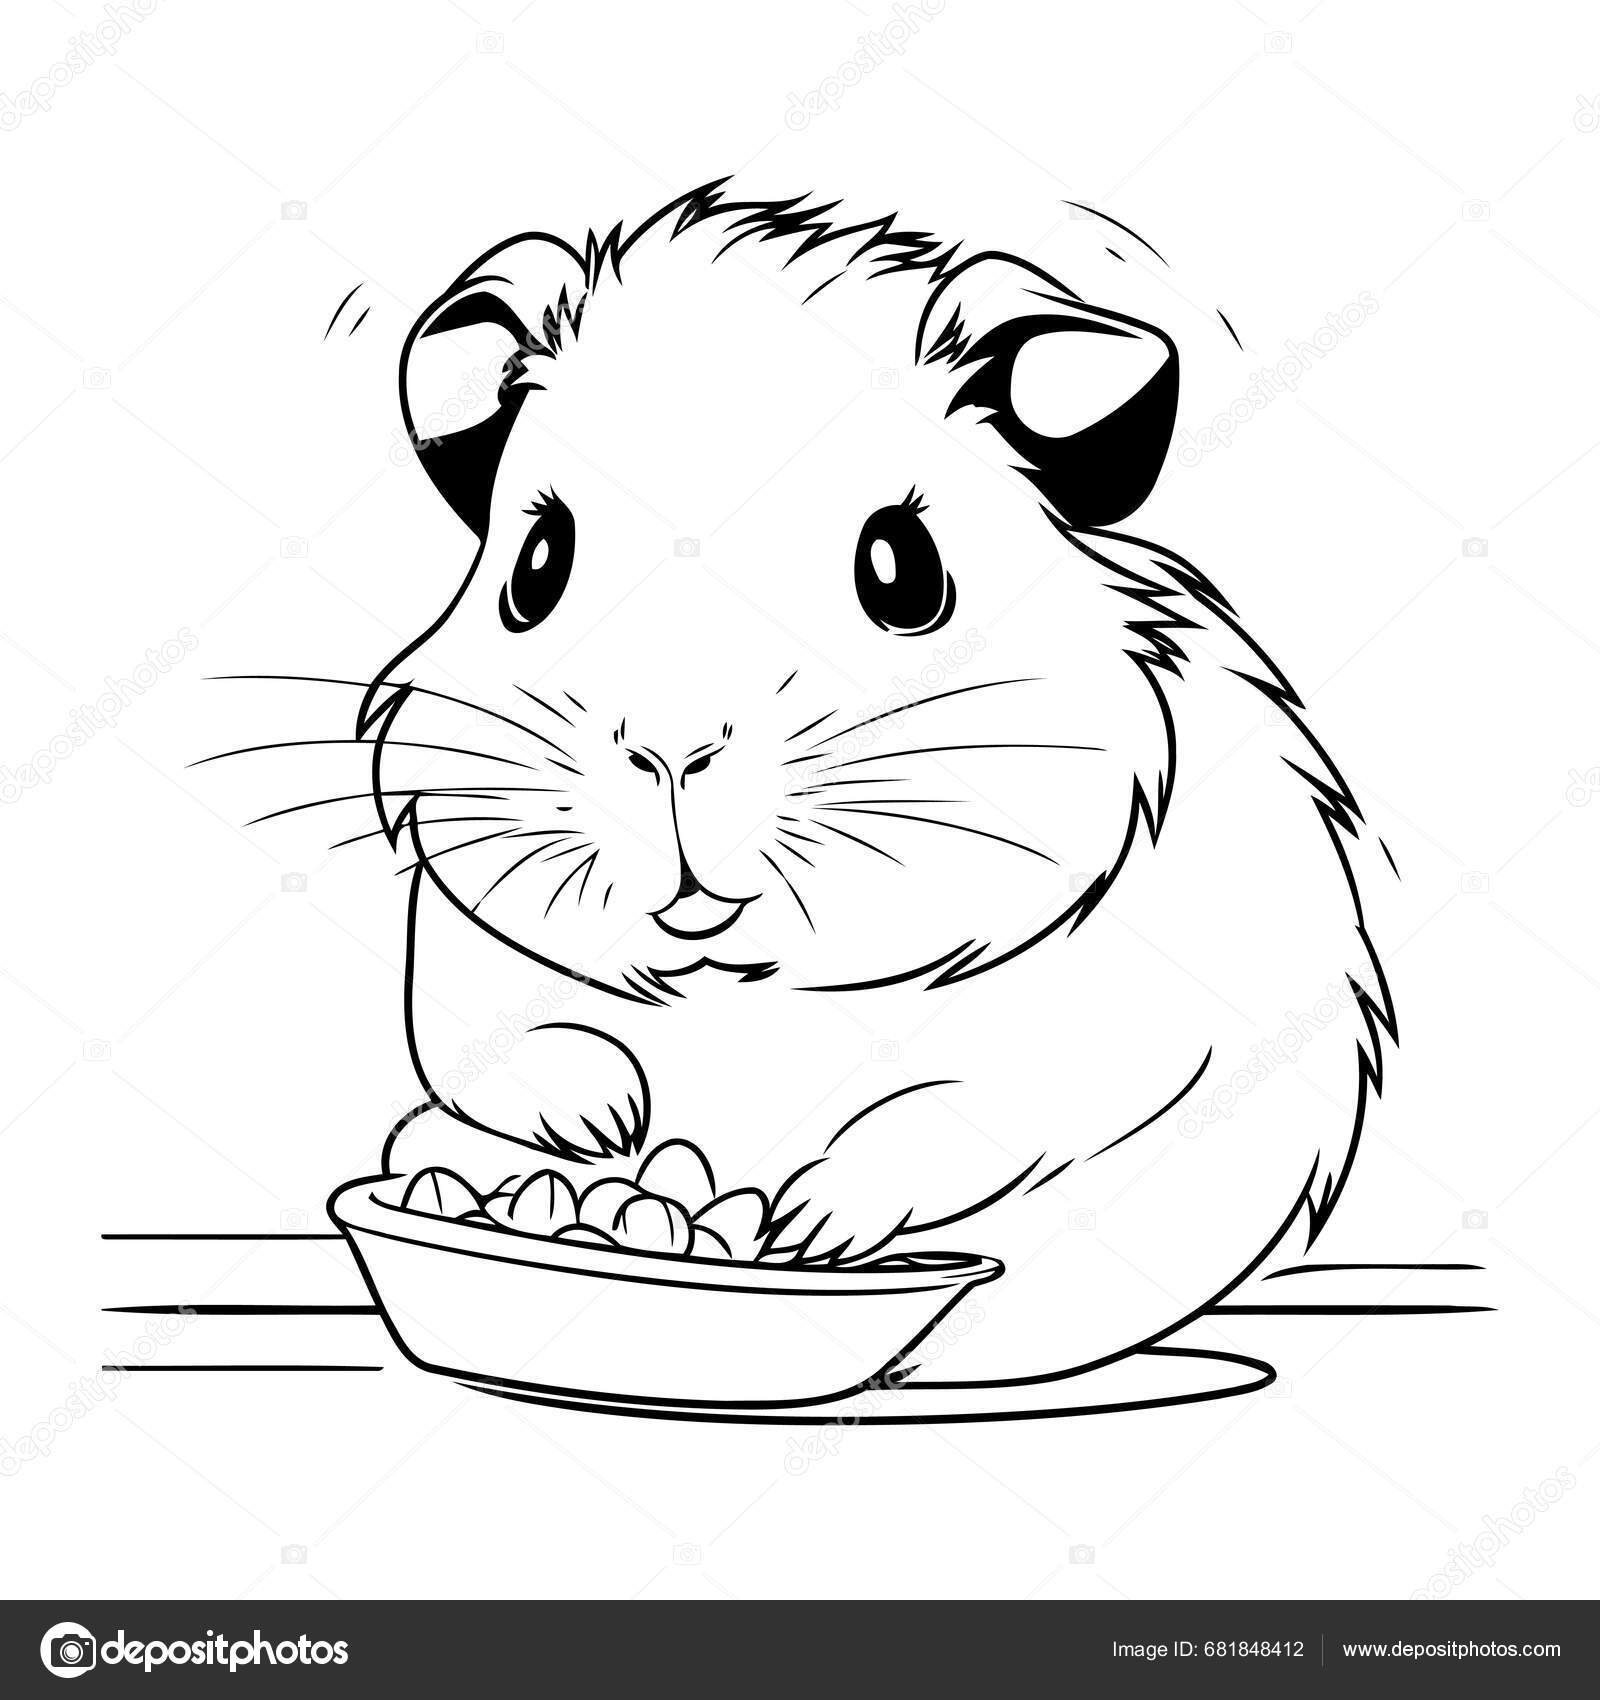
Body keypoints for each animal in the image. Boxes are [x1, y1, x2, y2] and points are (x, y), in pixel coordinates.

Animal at [367, 183, 1396, 1384]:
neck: (748, 994)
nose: (670, 757)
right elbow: (503, 1042)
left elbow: (970, 1103)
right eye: (534, 568)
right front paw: (606, 1126)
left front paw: (807, 1221)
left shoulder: (1134, 1010)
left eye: (903, 570)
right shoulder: (456, 934)